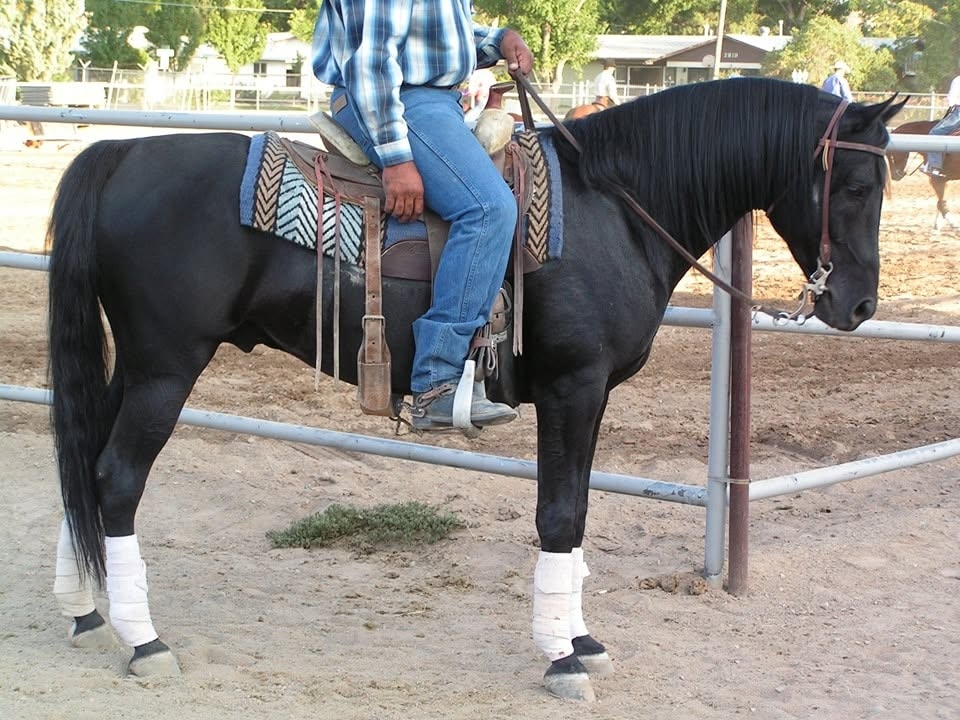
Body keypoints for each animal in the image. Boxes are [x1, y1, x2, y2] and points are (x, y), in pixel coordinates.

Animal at [46, 78, 903, 702]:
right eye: (857, 184)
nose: (858, 305)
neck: (616, 207)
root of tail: (120, 153)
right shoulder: (571, 388)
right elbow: (559, 515)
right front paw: (560, 657)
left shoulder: (593, 396)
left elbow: (579, 509)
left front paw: (580, 638)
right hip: (166, 367)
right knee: (116, 479)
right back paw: (143, 640)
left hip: (135, 366)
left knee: (84, 466)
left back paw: (84, 610)